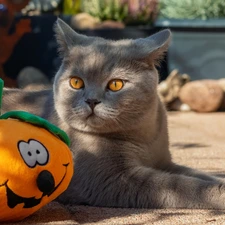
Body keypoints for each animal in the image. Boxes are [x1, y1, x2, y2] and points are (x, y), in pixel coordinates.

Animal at [2, 18, 225, 209]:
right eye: (76, 82)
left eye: (116, 84)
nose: (91, 100)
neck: (142, 139)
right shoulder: (111, 179)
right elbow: (184, 186)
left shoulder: (164, 162)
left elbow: (198, 174)